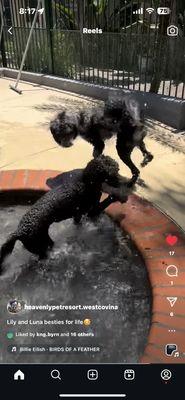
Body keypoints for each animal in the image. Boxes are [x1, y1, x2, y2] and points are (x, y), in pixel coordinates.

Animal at [0, 155, 131, 270]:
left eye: (118, 169)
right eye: (113, 173)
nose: (128, 182)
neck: (87, 183)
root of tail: (19, 231)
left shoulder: (82, 215)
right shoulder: (91, 210)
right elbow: (108, 200)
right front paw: (120, 196)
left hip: (43, 240)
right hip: (40, 244)